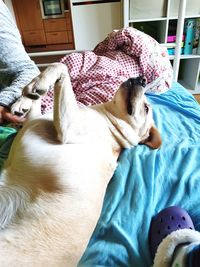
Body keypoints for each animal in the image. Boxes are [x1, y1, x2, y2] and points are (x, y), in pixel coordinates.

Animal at [0, 63, 162, 266]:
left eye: (146, 109)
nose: (142, 79)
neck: (109, 122)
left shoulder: (69, 129)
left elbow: (60, 67)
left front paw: (37, 85)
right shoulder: (34, 120)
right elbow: (38, 101)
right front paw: (24, 101)